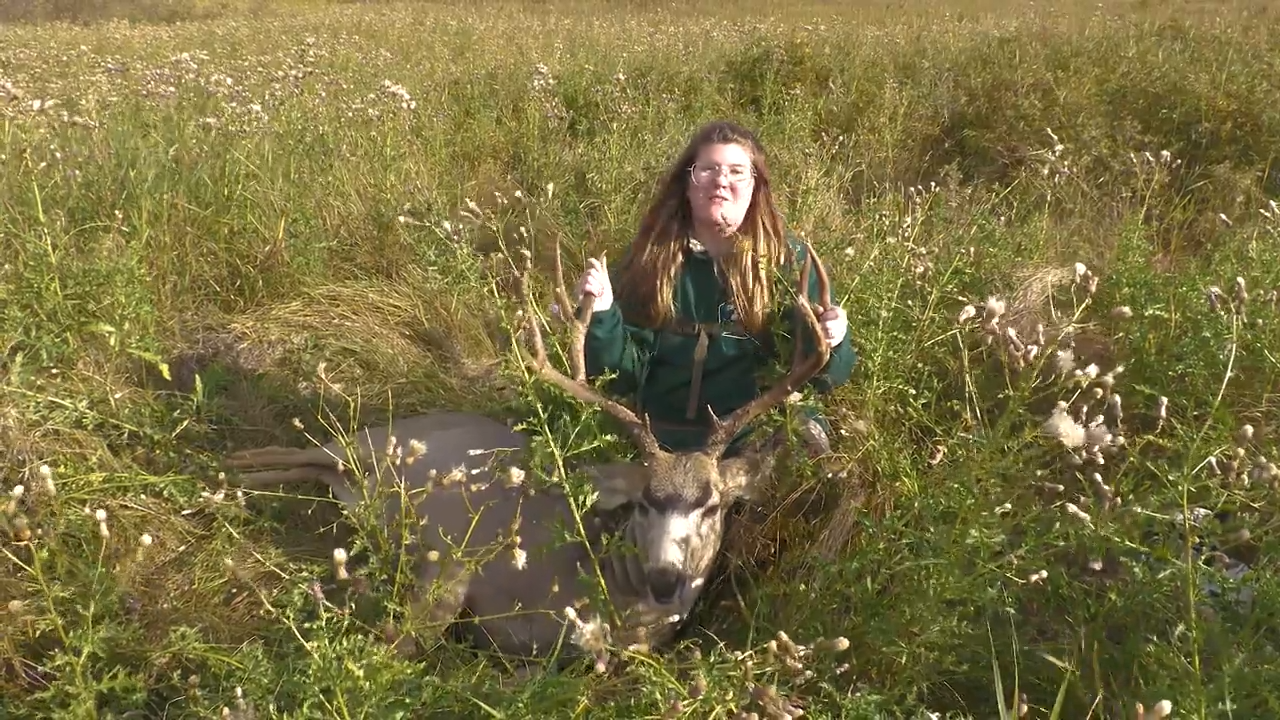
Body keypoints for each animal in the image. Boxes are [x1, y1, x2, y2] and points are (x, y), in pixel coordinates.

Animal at [222, 239, 834, 670]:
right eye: (642, 502)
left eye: (713, 505)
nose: (665, 580)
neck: (593, 586)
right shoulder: (456, 559)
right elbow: (408, 640)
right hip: (358, 443)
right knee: (283, 450)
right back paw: (212, 475)